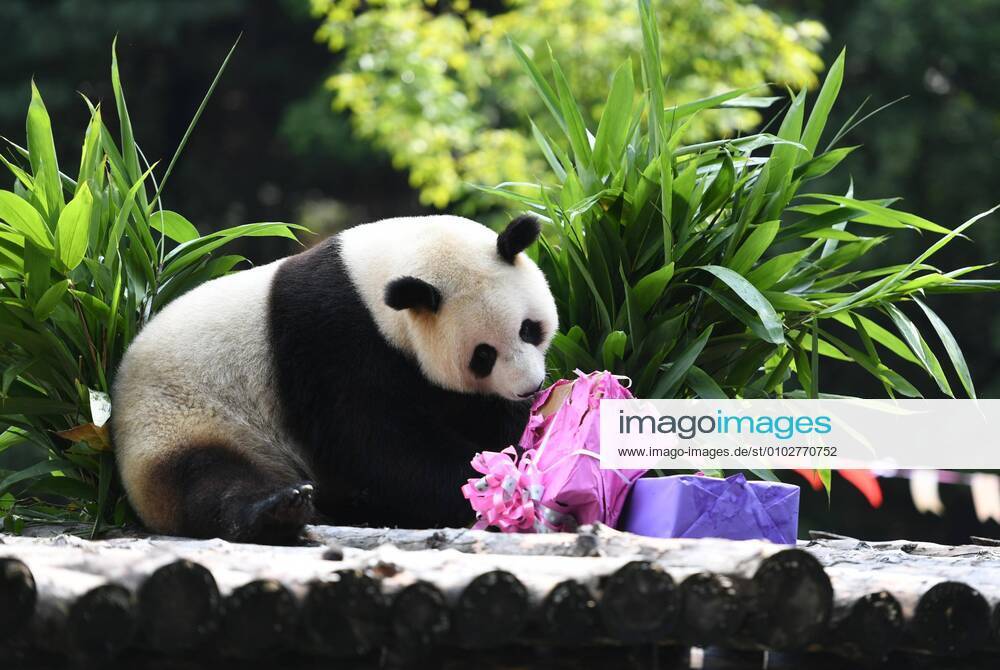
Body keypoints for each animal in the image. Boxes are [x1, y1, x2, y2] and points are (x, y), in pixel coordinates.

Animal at [111, 214, 557, 543]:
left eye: (528, 329)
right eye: (483, 355)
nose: (529, 387)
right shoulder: (332, 342)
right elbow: (374, 443)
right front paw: (485, 481)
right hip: (180, 421)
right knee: (209, 479)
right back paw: (280, 510)